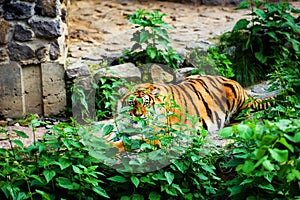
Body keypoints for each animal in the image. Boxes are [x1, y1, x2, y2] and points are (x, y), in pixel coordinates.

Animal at [105, 74, 274, 151]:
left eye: (146, 103)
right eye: (132, 103)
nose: (139, 115)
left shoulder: (162, 133)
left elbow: (131, 141)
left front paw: (110, 146)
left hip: (236, 102)